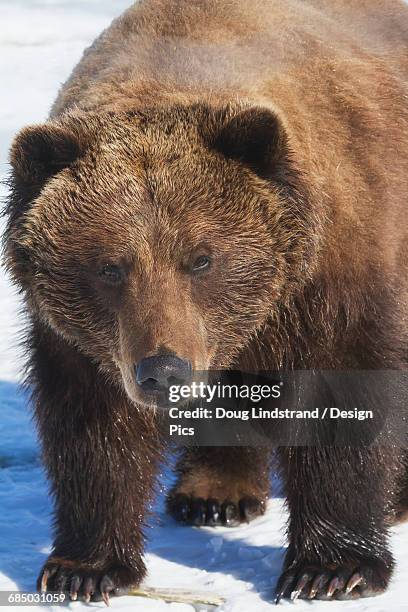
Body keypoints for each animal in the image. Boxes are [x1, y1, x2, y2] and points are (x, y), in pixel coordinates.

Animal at [3, 0, 408, 604]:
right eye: (109, 267)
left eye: (200, 258)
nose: (164, 370)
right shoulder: (85, 337)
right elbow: (94, 429)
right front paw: (85, 567)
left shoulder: (333, 278)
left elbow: (342, 401)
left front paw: (332, 569)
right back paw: (213, 491)